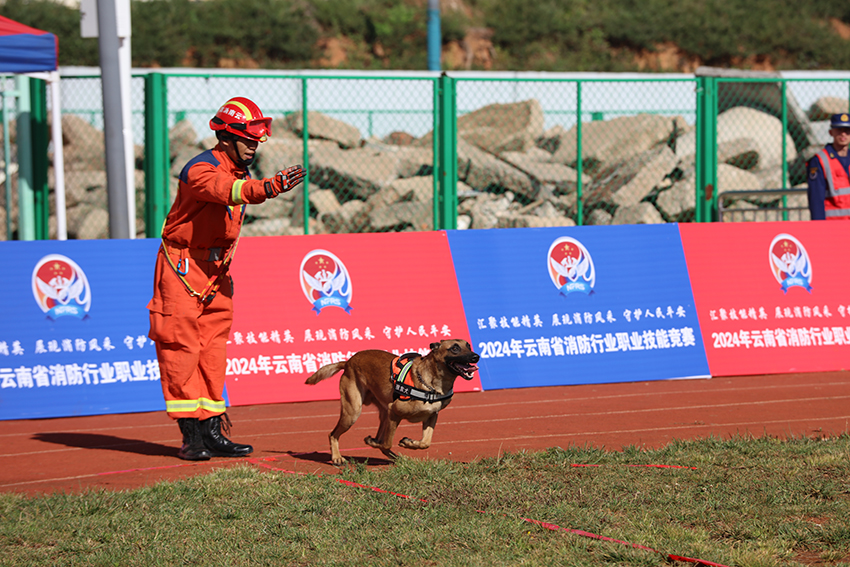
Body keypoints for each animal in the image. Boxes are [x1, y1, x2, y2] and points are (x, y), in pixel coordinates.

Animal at [304, 340, 476, 464]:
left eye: (468, 345)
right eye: (455, 348)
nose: (476, 357)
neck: (432, 385)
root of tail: (347, 362)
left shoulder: (431, 416)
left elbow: (425, 442)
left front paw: (409, 442)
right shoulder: (394, 411)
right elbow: (386, 443)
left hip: (383, 414)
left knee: (380, 439)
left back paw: (393, 454)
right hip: (352, 412)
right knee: (333, 434)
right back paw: (337, 457)